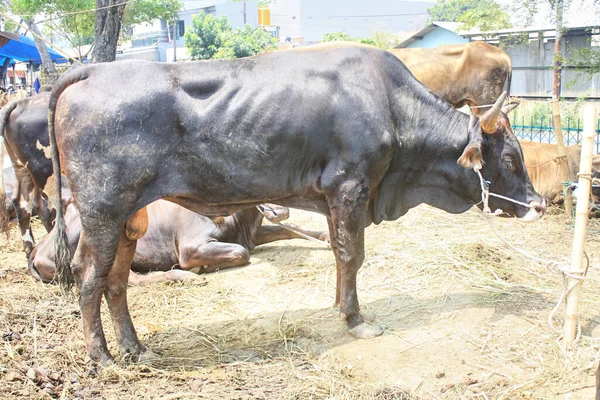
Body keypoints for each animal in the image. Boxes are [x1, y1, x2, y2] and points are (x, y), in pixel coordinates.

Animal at [28, 200, 328, 284]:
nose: (281, 211)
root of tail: (37, 251)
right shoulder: (191, 247)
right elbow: (241, 252)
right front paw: (201, 267)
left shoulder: (253, 235)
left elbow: (292, 231)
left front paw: (324, 237)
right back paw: (186, 275)